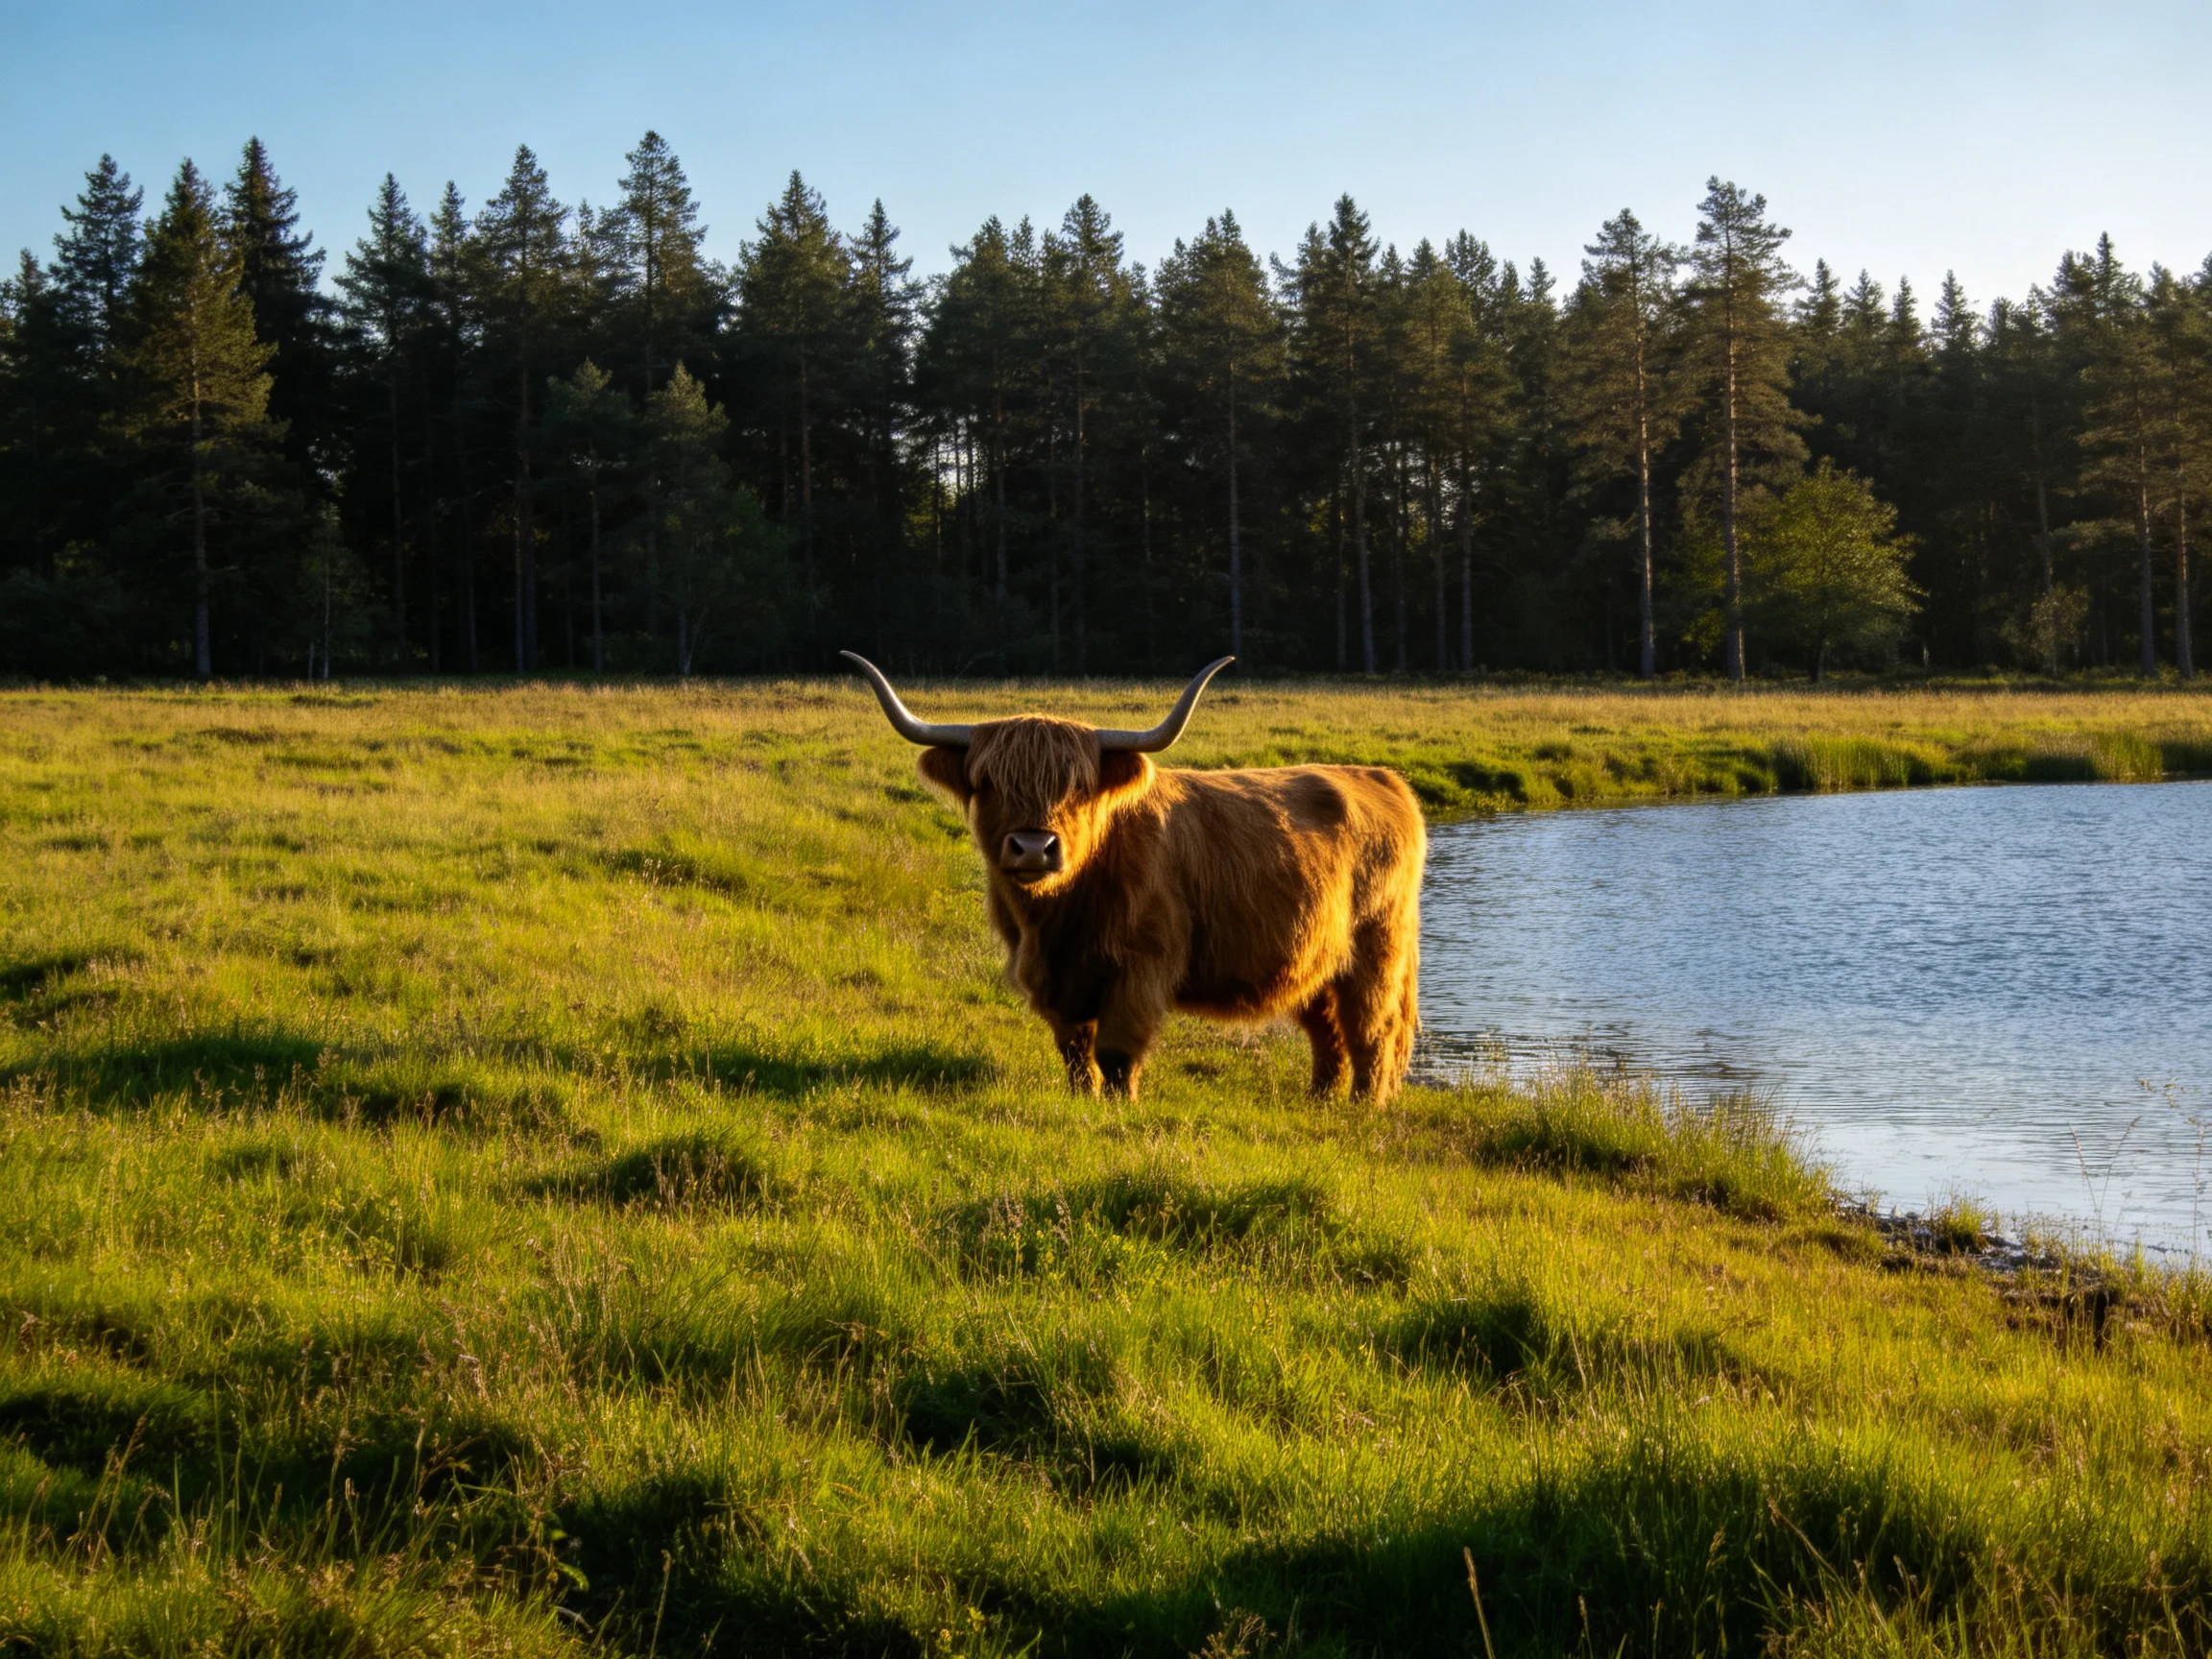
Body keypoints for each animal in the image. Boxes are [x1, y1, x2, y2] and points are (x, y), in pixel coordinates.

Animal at [843, 653, 1425, 1103]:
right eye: (987, 782)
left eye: (1078, 786)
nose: (1033, 847)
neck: (1057, 917)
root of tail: (1382, 778)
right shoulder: (1055, 978)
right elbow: (1075, 1050)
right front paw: (1084, 1100)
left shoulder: (1141, 966)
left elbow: (1117, 1051)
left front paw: (1121, 1106)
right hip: (1318, 958)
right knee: (1328, 1032)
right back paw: (1319, 1103)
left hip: (1377, 950)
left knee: (1371, 1030)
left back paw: (1363, 1108)